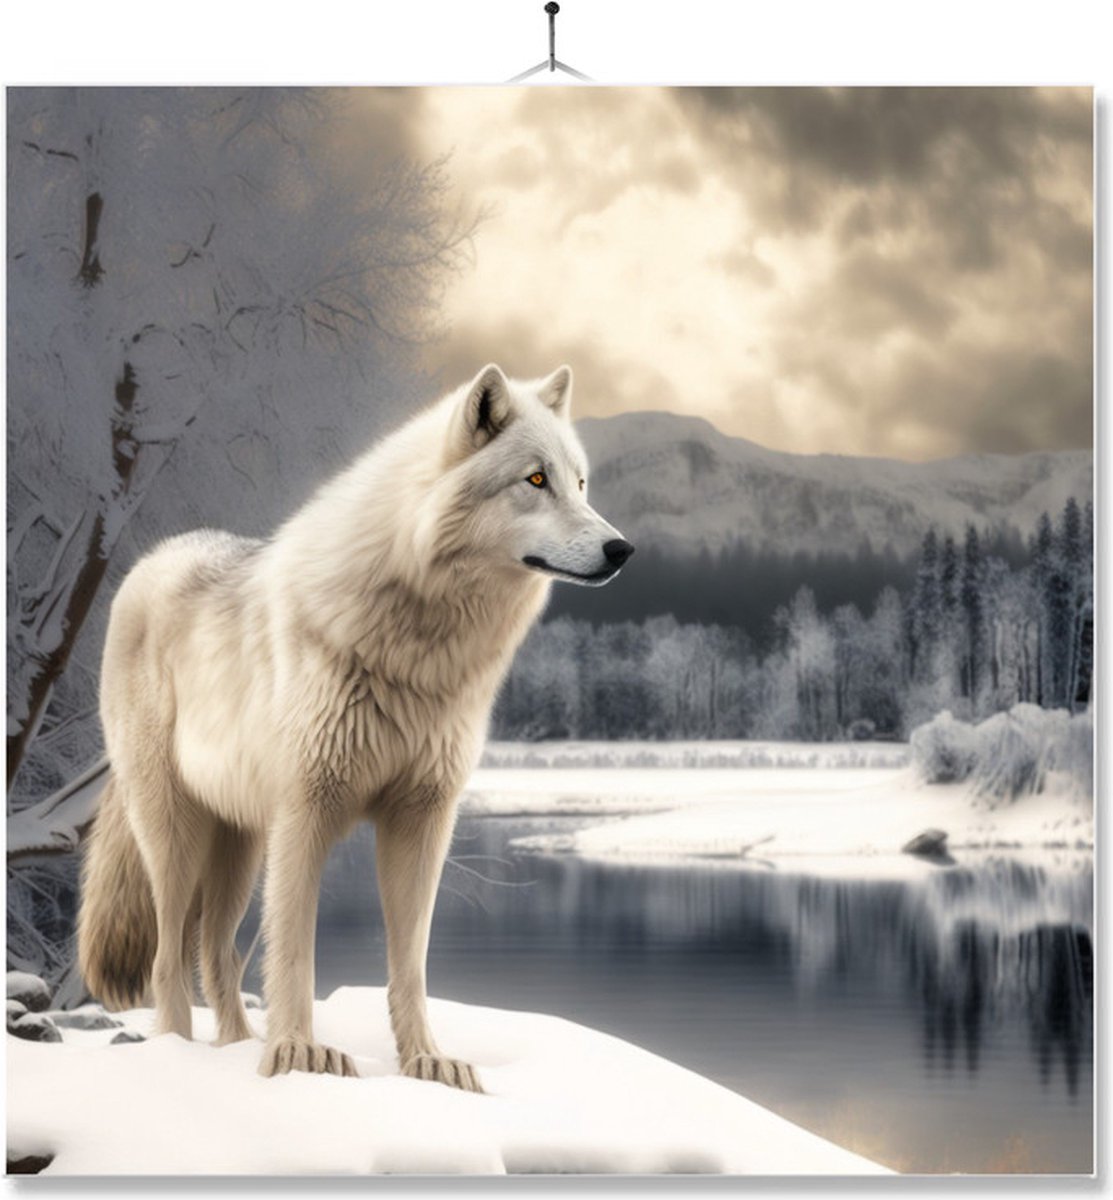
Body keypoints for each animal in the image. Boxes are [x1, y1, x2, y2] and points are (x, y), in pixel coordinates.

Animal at [77, 363, 633, 1090]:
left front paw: (427, 1062)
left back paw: (234, 1048)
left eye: (581, 482)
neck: (422, 649)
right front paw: (296, 1056)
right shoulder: (304, 812)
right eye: (535, 480)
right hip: (176, 834)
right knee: (167, 957)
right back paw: (180, 1054)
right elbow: (294, 953)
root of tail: (149, 559)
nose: (621, 549)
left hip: (241, 845)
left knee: (216, 951)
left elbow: (410, 964)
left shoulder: (423, 818)